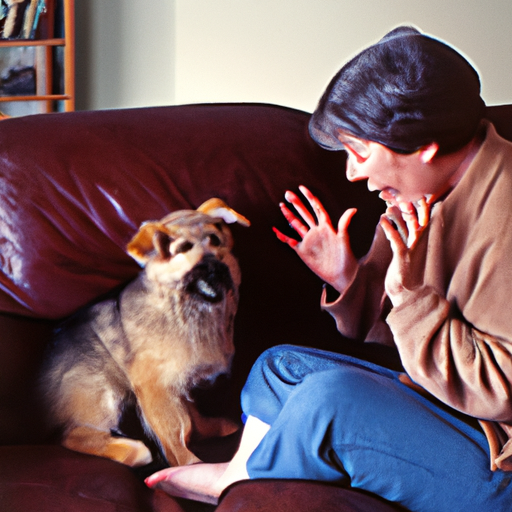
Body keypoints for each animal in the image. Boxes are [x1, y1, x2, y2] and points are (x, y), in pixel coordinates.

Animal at [38, 199, 250, 468]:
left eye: (215, 239)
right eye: (182, 249)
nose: (215, 266)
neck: (185, 306)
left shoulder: (178, 385)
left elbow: (192, 419)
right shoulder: (155, 386)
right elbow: (176, 433)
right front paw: (190, 464)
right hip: (102, 390)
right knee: (72, 435)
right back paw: (132, 451)